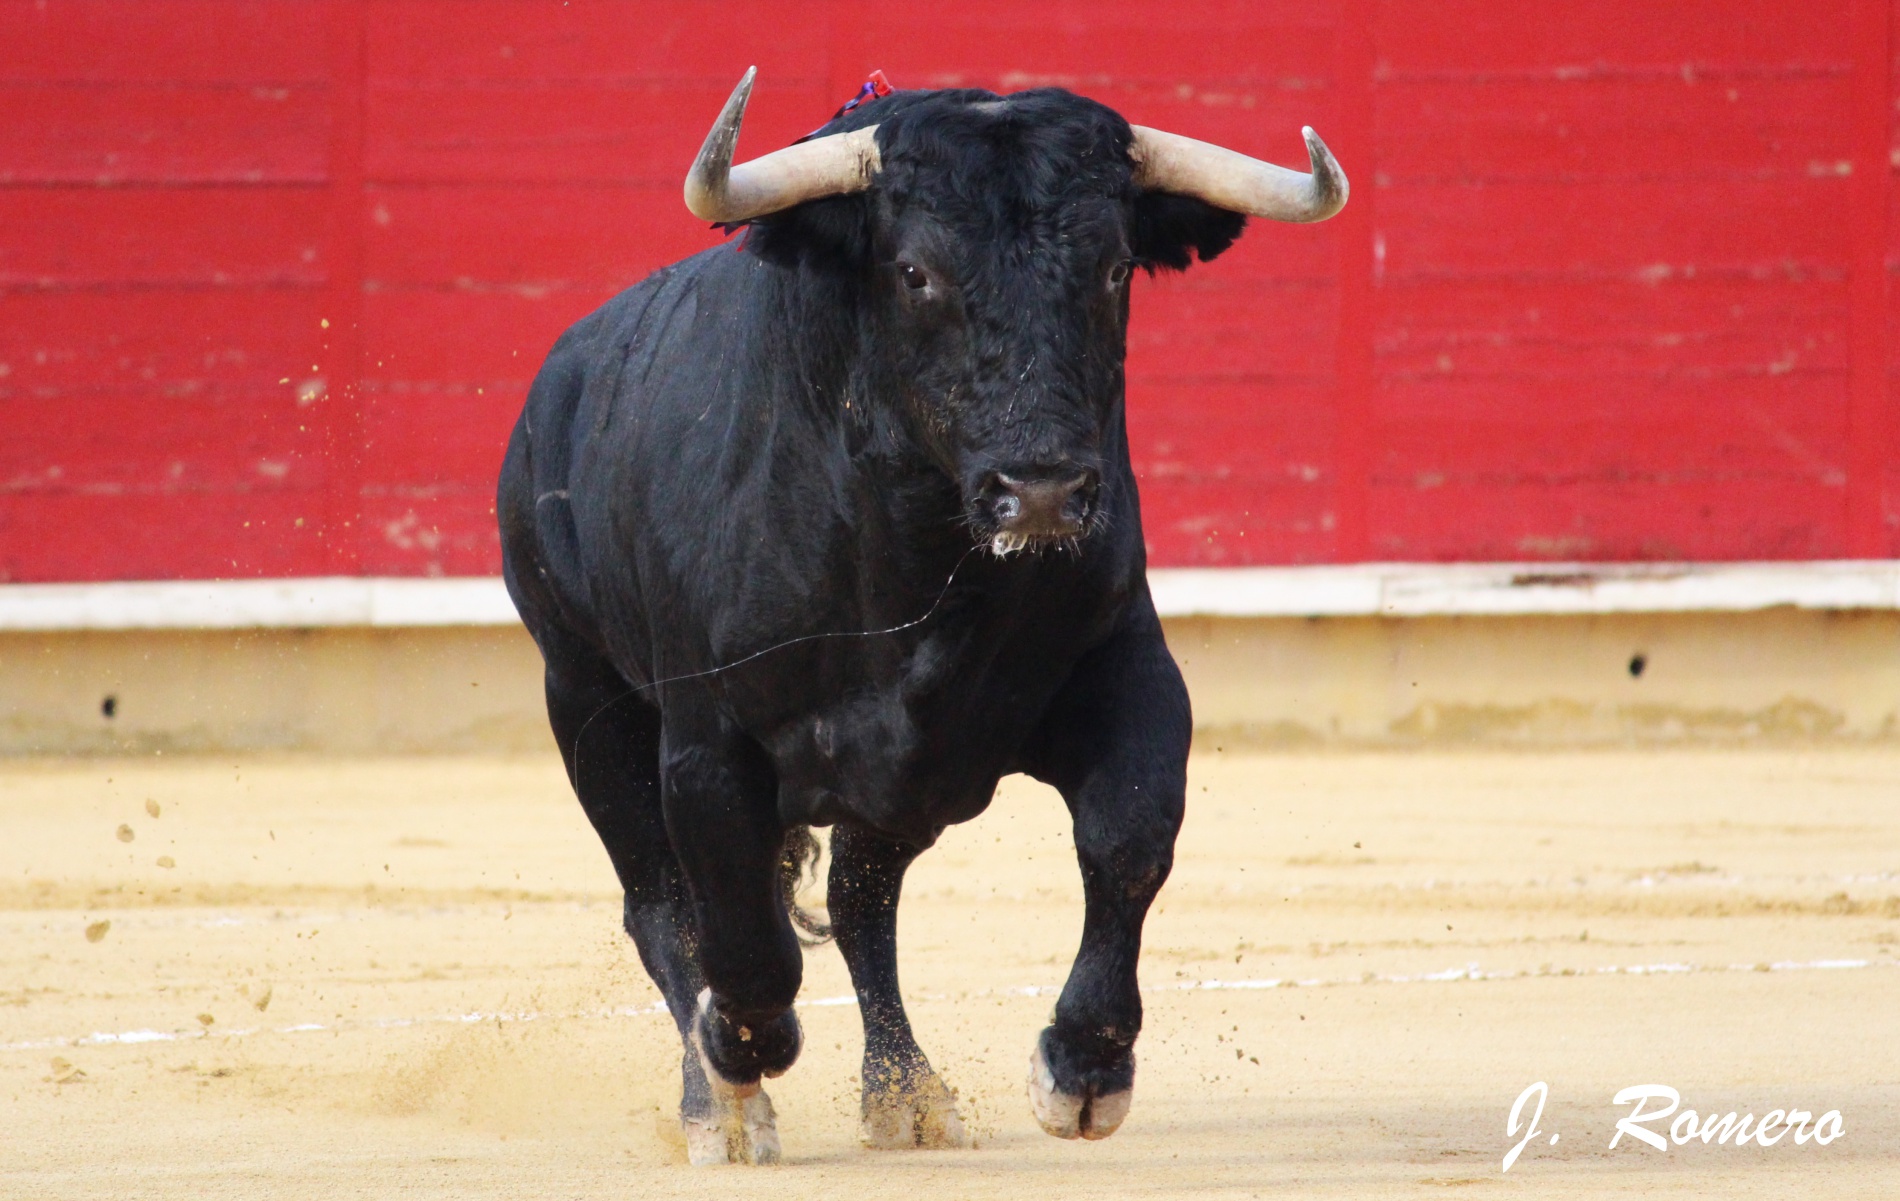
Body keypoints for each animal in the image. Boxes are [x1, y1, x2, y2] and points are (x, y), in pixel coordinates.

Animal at [497, 82, 1337, 1155]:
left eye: (1114, 268)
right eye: (914, 273)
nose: (1043, 491)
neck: (913, 555)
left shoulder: (1123, 673)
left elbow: (1130, 838)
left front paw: (1085, 1067)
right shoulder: (704, 745)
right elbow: (738, 935)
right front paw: (740, 1050)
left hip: (899, 785)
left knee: (860, 906)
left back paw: (905, 1093)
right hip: (586, 702)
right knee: (661, 909)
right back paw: (718, 1108)